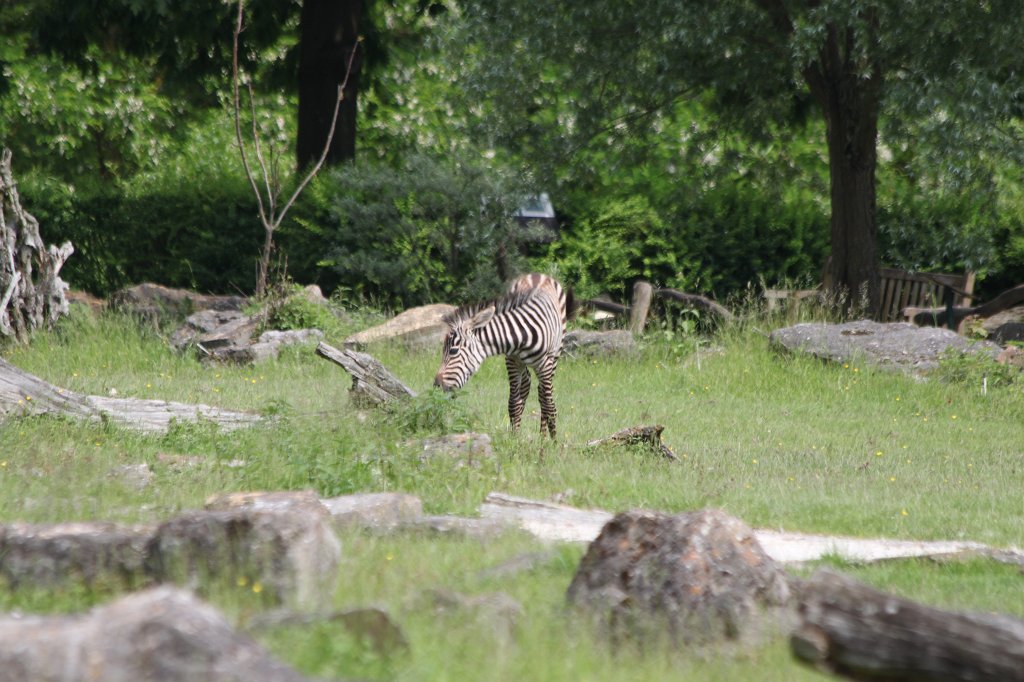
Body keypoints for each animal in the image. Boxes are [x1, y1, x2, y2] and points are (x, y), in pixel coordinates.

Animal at [433, 273, 571, 438]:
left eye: (453, 351)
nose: (436, 385)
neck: (521, 334)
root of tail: (538, 274)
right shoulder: (511, 360)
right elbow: (513, 402)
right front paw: (514, 437)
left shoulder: (545, 364)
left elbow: (548, 405)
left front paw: (554, 440)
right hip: (522, 364)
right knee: (526, 385)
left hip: (555, 356)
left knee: (543, 395)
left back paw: (543, 436)